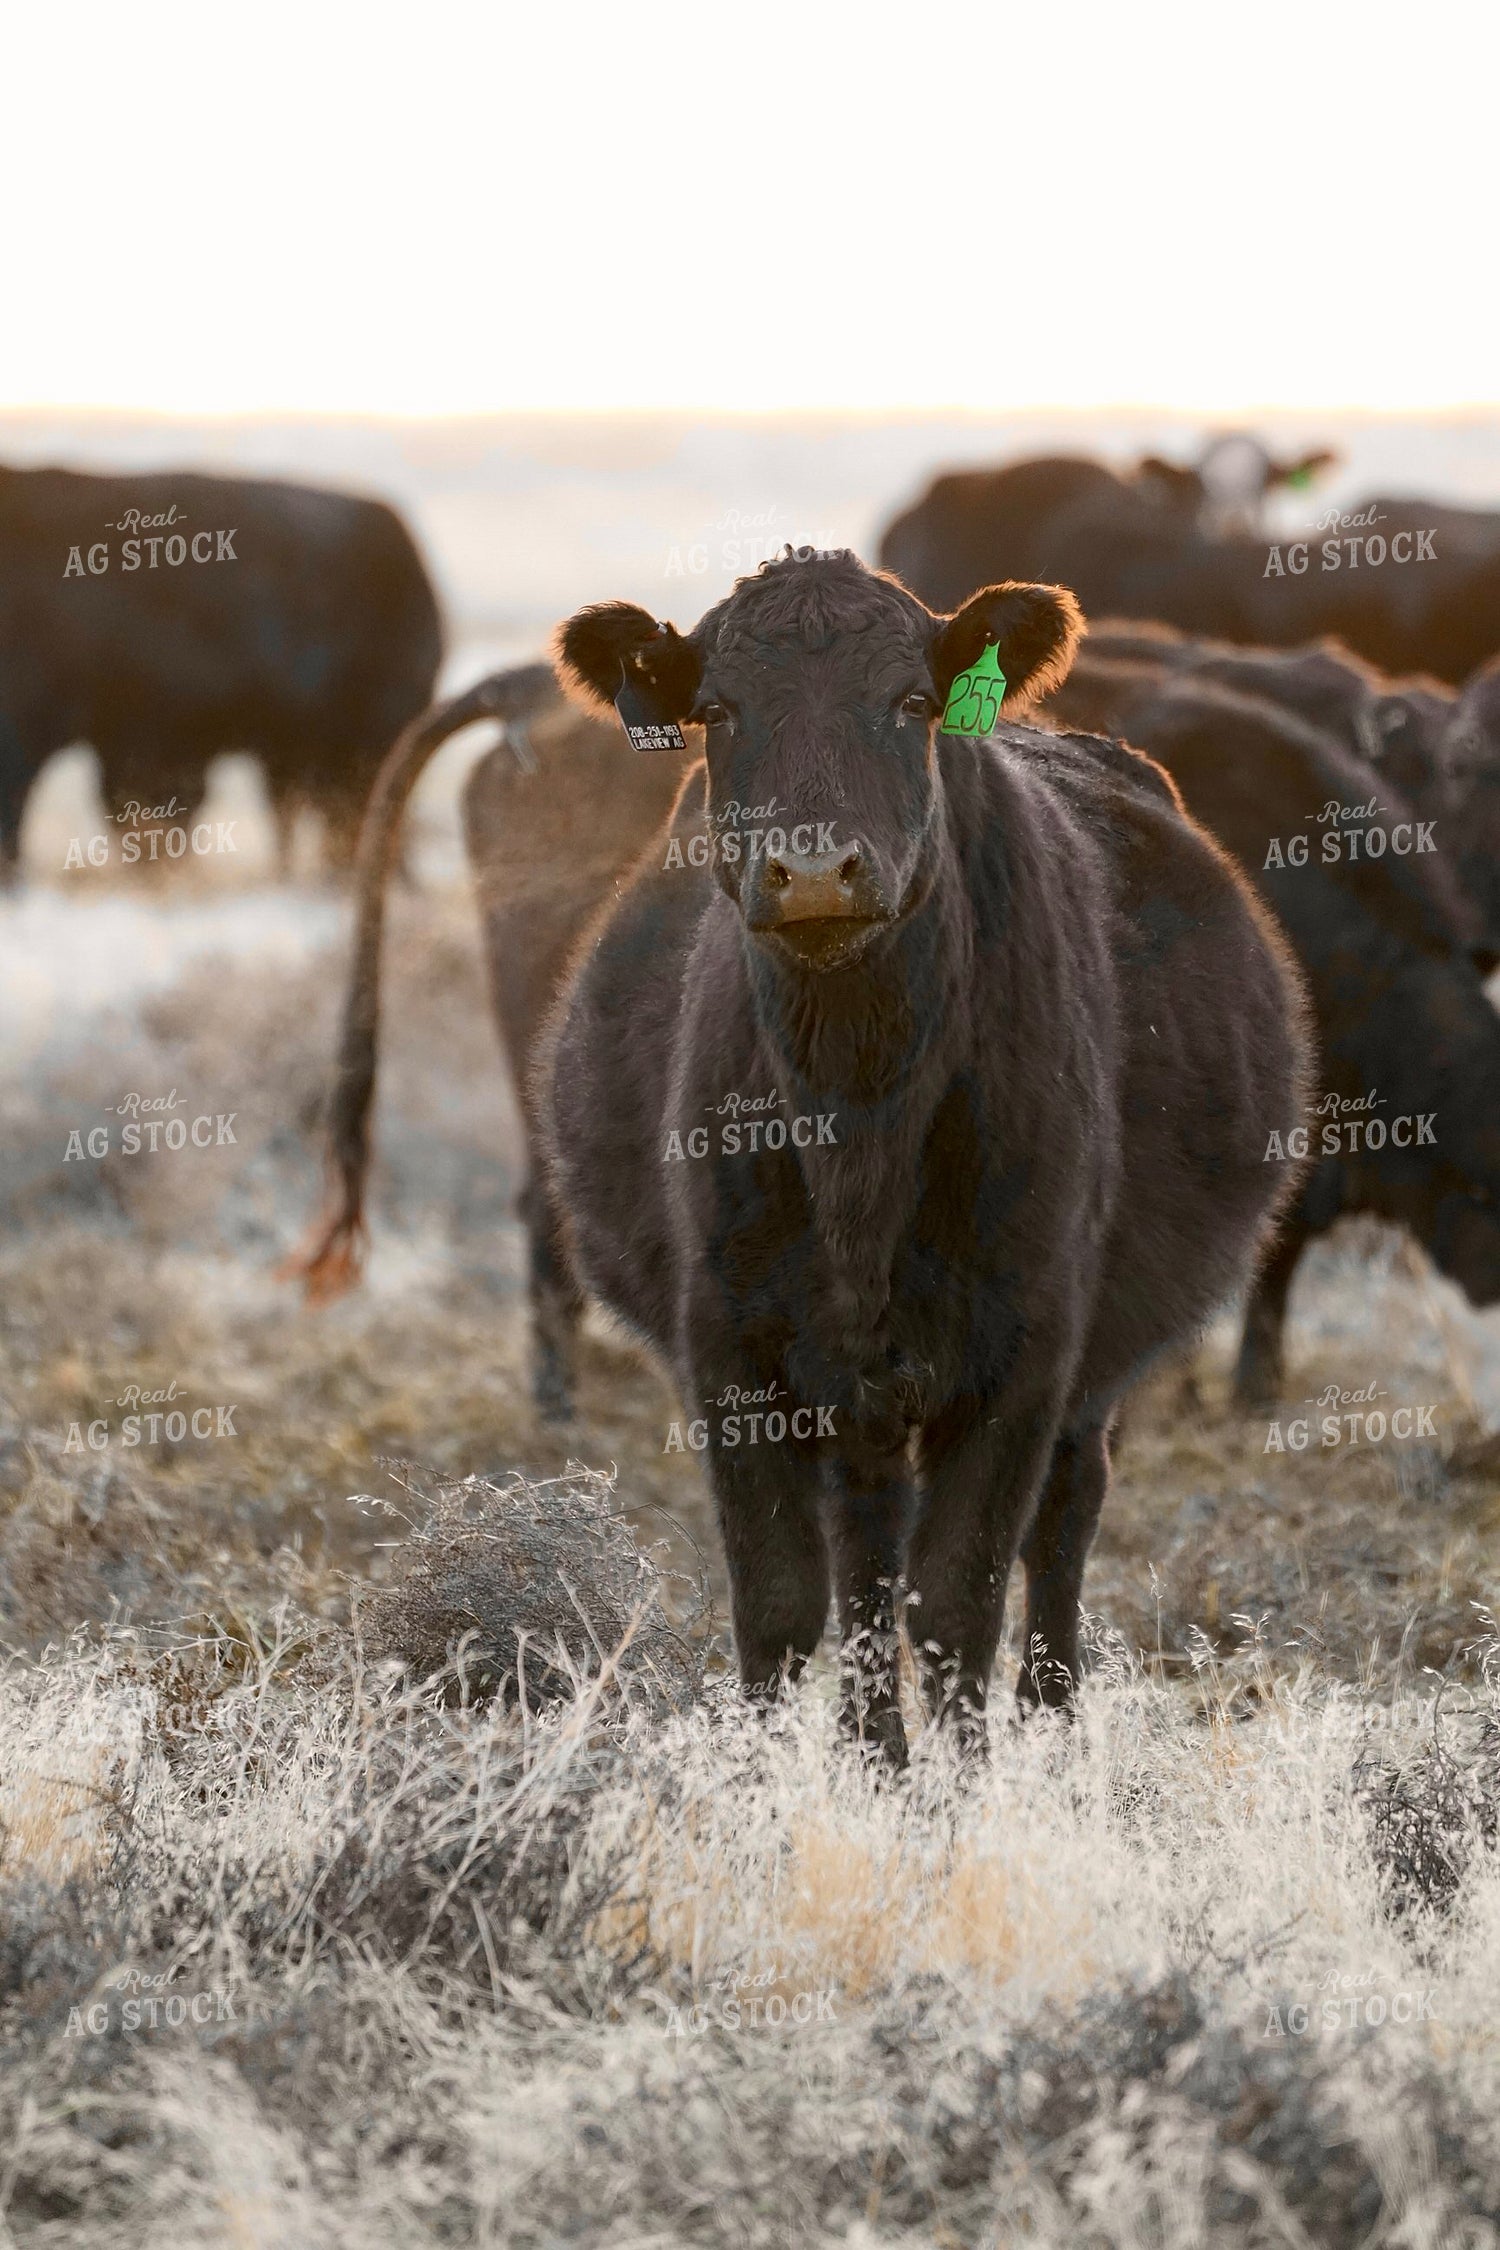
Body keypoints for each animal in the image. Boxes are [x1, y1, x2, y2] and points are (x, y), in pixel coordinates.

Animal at [520, 549, 1309, 1763]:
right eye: (717, 710)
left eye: (912, 702)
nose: (814, 870)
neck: (859, 1122)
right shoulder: (730, 1348)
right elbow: (784, 1601)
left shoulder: (1026, 1349)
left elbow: (959, 1598)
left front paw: (960, 1789)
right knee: (867, 1550)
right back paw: (871, 1748)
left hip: (1087, 1373)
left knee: (1061, 1521)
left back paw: (1048, 1727)